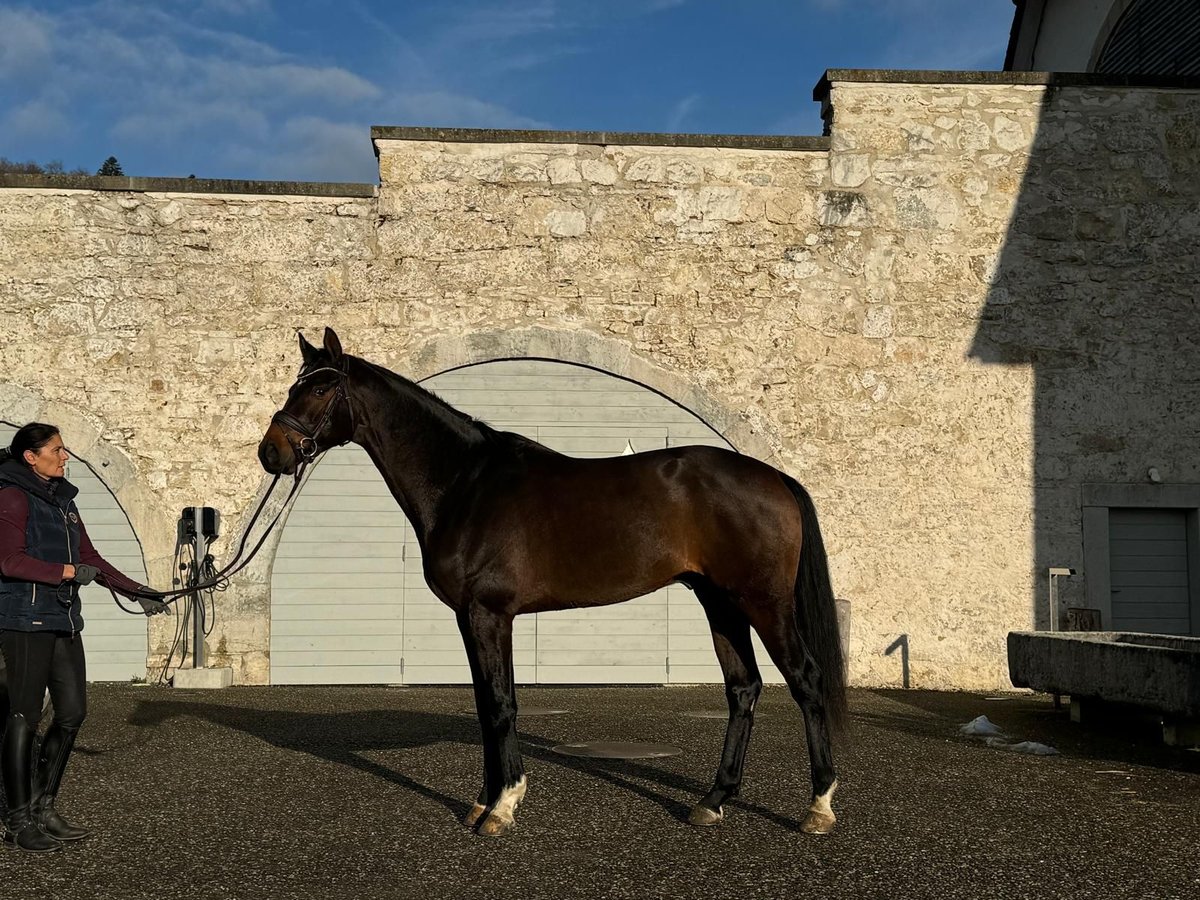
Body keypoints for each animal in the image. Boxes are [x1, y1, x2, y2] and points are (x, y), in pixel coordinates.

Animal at [258, 328, 849, 840]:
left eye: (322, 387)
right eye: (293, 385)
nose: (272, 452)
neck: (465, 484)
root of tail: (774, 478)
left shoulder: (489, 613)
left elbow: (501, 703)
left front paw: (503, 807)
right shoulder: (468, 618)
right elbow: (484, 704)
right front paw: (482, 801)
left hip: (763, 602)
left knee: (806, 680)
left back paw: (818, 807)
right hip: (718, 601)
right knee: (743, 687)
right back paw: (712, 801)